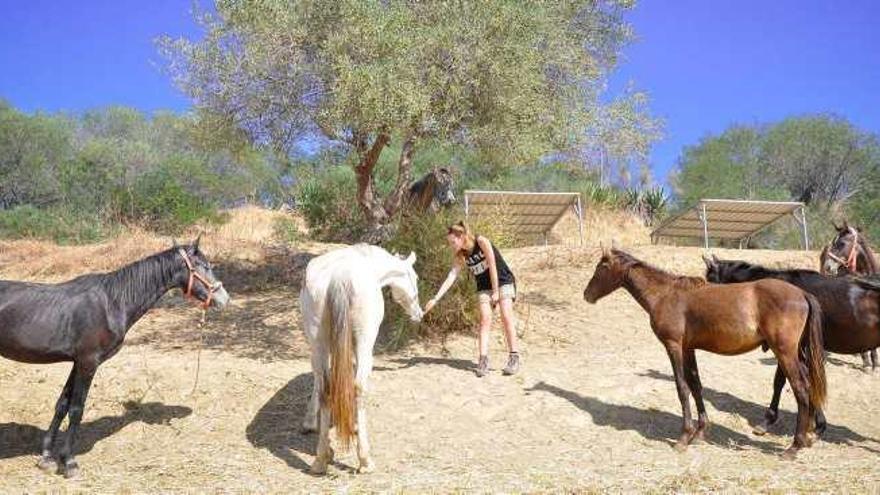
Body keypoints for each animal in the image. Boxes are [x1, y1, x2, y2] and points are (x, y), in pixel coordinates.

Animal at [0, 238, 230, 478]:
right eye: (204, 266)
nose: (224, 298)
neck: (112, 302)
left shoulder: (77, 362)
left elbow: (62, 405)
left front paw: (47, 457)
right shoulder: (88, 362)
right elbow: (76, 409)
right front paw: (69, 462)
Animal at [300, 246, 424, 474]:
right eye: (415, 278)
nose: (419, 314)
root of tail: (339, 278)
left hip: (319, 343)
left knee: (325, 387)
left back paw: (322, 458)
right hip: (365, 345)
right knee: (358, 387)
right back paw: (364, 459)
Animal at [584, 248, 824, 462]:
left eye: (601, 267)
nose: (586, 295)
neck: (665, 294)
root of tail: (802, 294)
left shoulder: (673, 346)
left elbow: (682, 388)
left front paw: (683, 438)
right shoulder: (688, 349)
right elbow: (695, 385)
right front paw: (699, 432)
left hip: (785, 353)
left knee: (801, 388)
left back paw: (795, 446)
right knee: (809, 384)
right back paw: (809, 435)